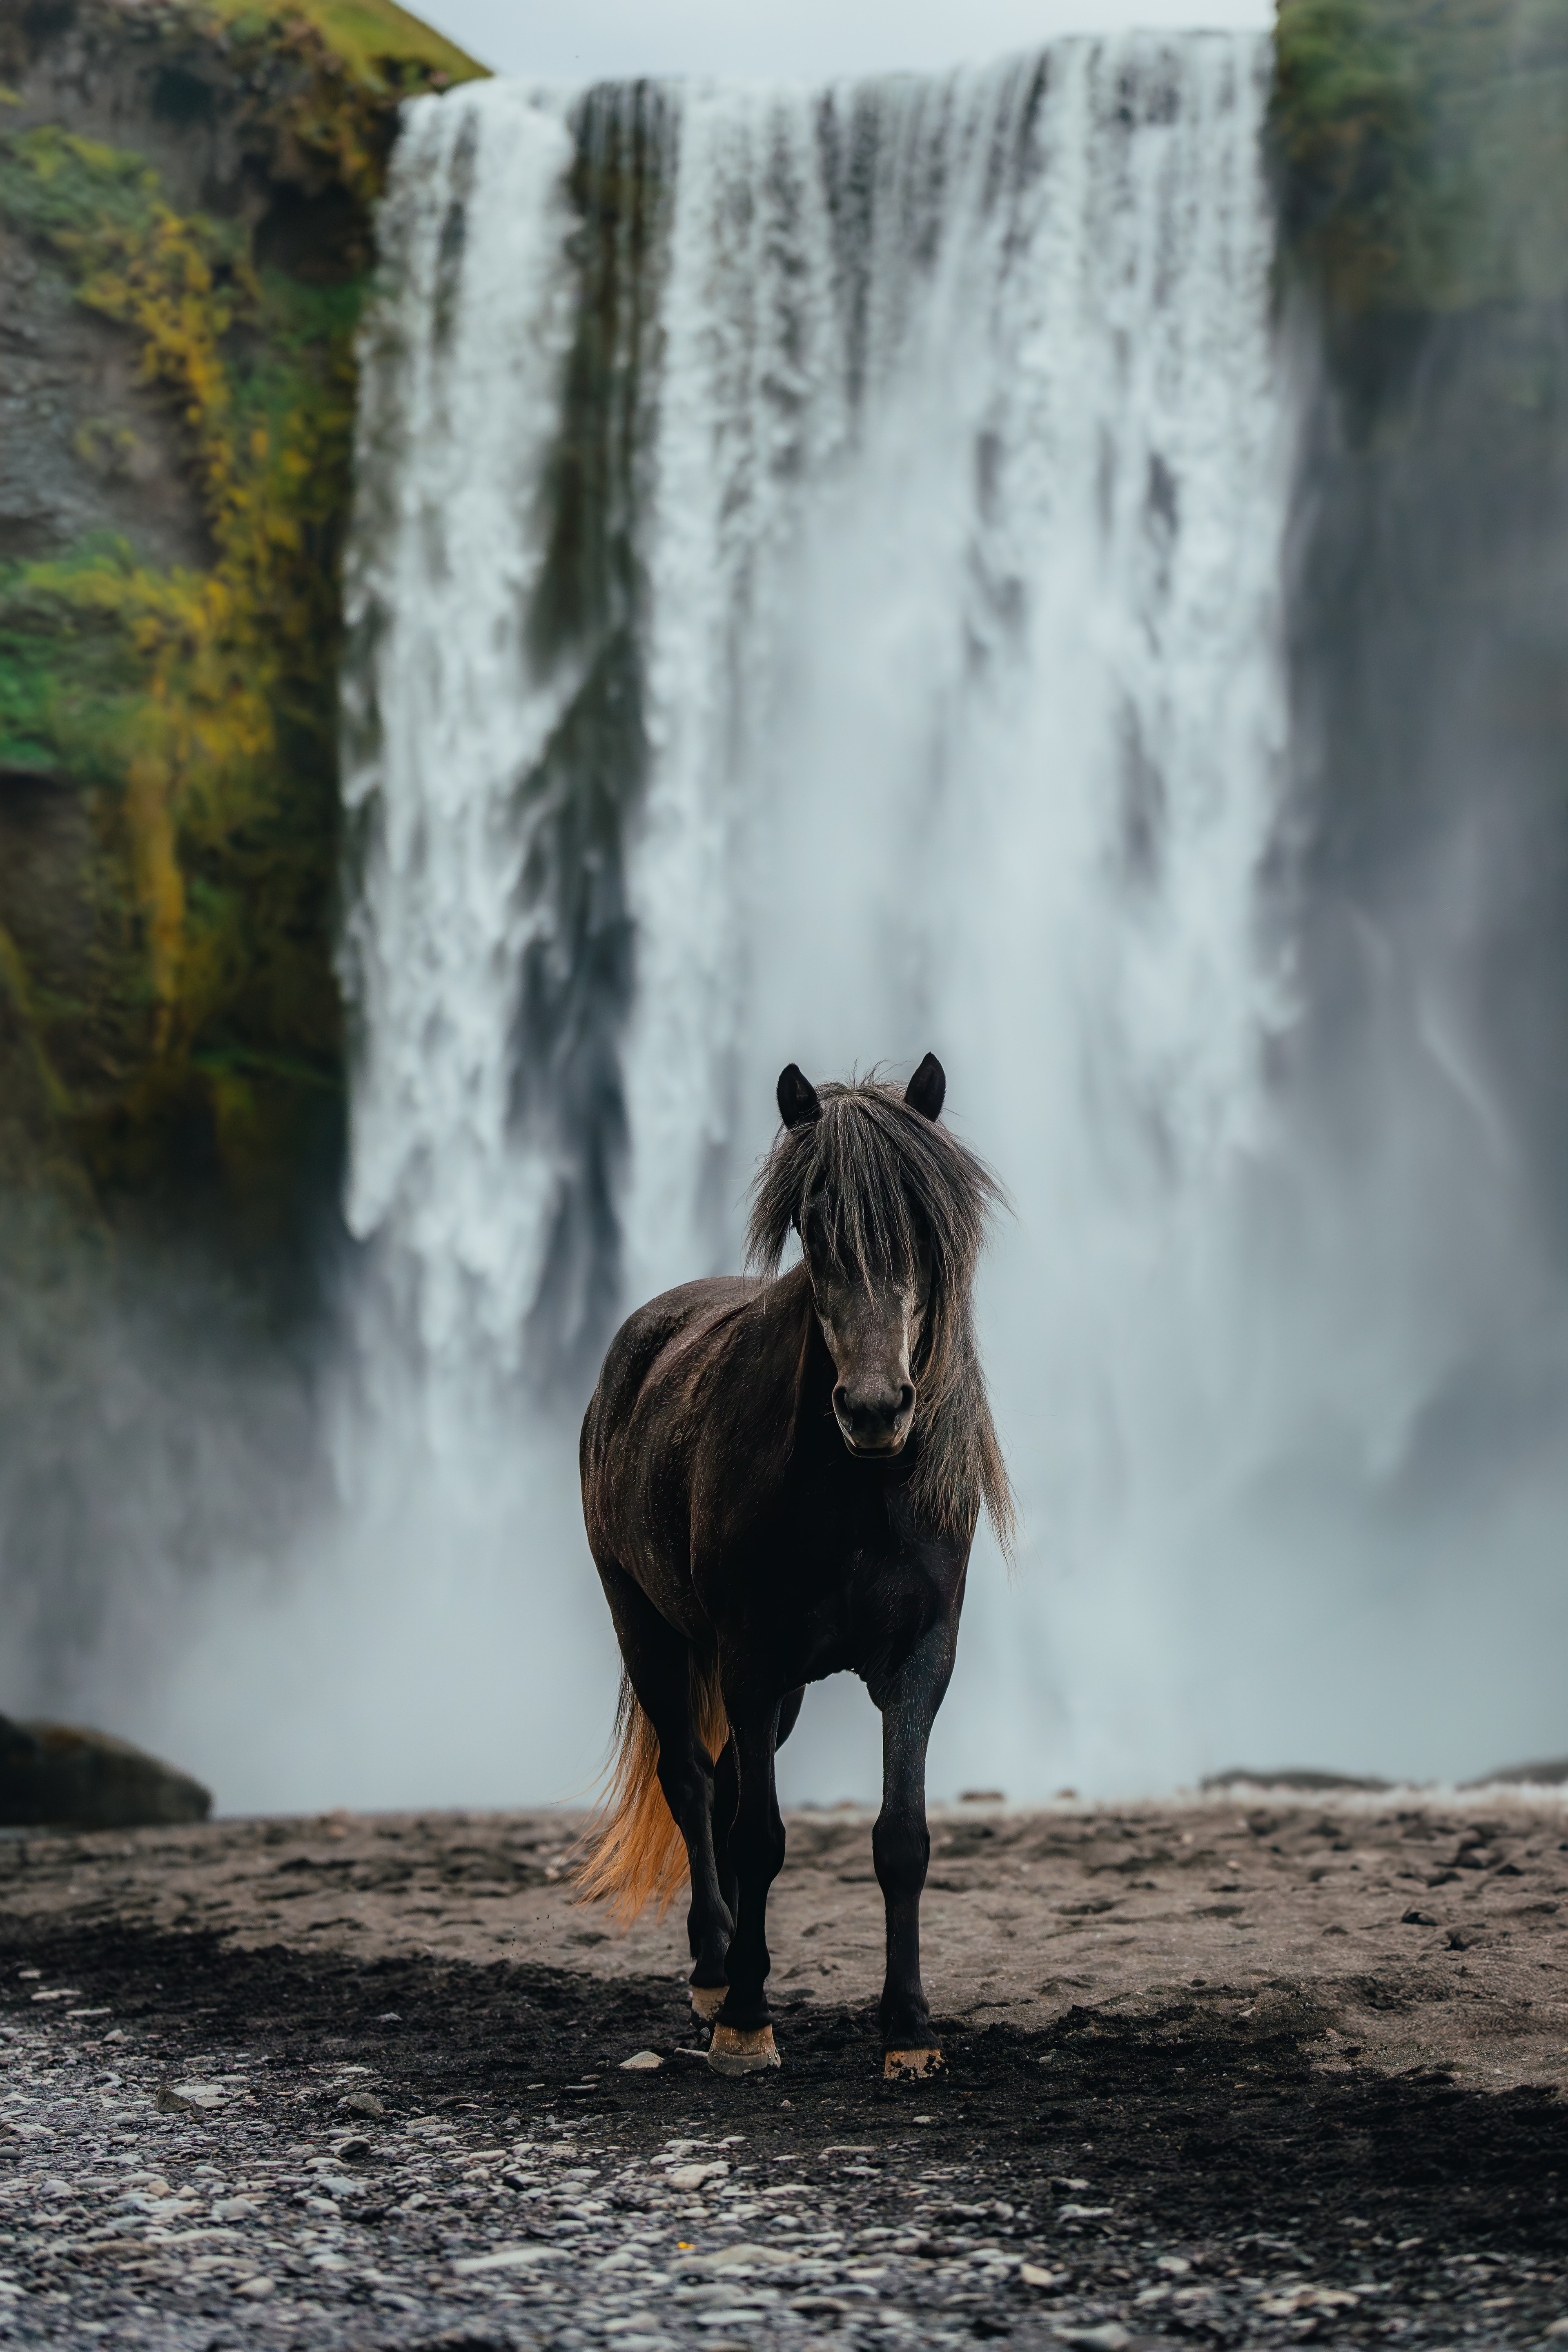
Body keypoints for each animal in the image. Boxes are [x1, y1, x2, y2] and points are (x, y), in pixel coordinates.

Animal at [577, 1054, 1013, 2078]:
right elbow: (760, 1836)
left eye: (923, 1219)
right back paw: (712, 1971)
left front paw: (909, 2030)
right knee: (694, 1785)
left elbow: (902, 1839)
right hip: (649, 1630)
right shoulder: (749, 1657)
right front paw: (745, 2018)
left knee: (729, 1780)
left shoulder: (917, 1663)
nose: (874, 1408)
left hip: (781, 1694)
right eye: (815, 1225)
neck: (855, 1499)